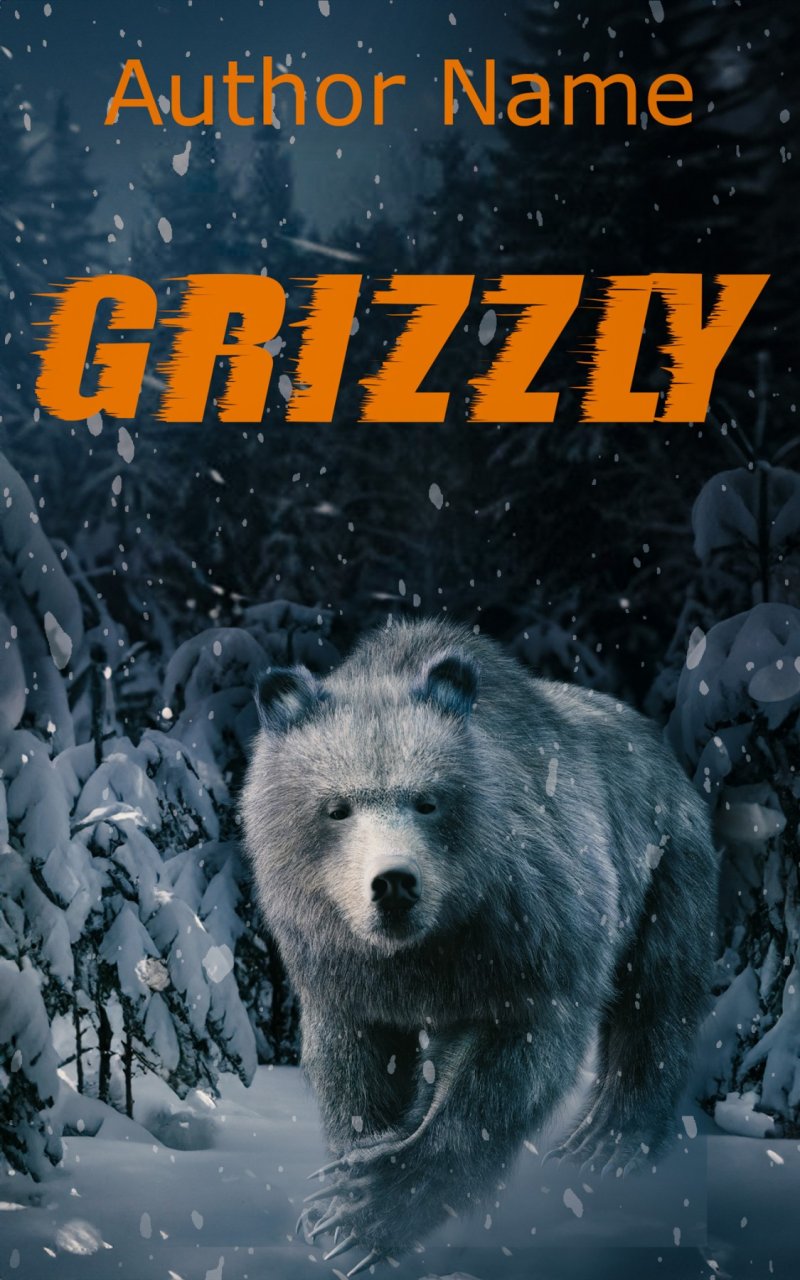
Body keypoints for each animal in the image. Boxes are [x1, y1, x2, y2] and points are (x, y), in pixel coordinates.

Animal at [240, 617, 718, 1274]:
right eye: (337, 807)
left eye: (427, 800)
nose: (394, 884)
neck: (428, 950)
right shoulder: (342, 971)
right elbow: (356, 1067)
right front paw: (348, 1177)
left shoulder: (531, 935)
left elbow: (507, 1069)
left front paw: (366, 1205)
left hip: (664, 868)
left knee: (656, 1001)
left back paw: (604, 1144)